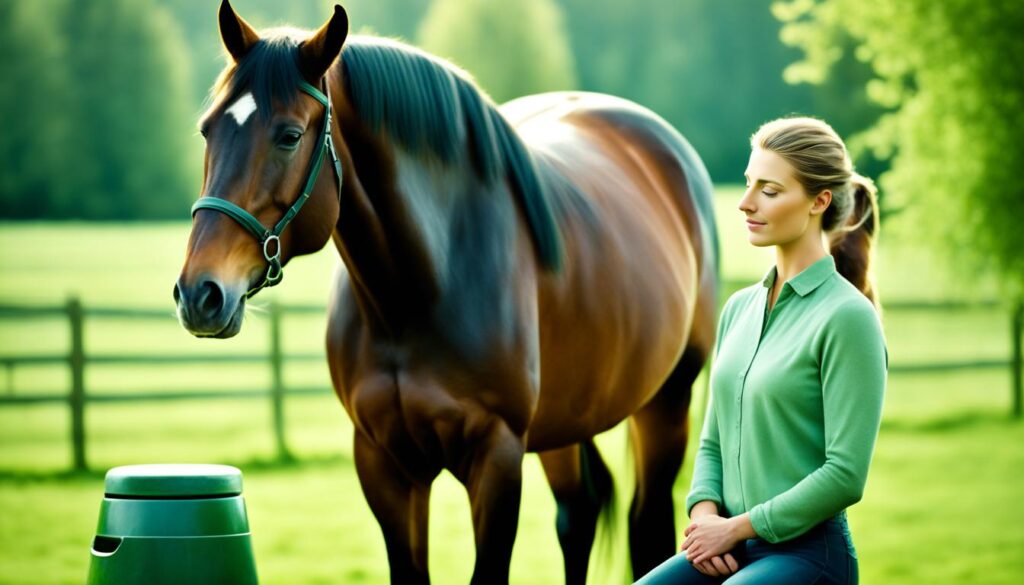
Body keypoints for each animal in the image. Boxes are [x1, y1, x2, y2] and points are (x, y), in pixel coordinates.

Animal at [174, 2, 720, 581]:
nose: (200, 293)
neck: (418, 291)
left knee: (647, 522)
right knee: (579, 515)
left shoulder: (497, 458)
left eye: (289, 136)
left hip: (667, 403)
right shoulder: (385, 464)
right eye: (207, 131)